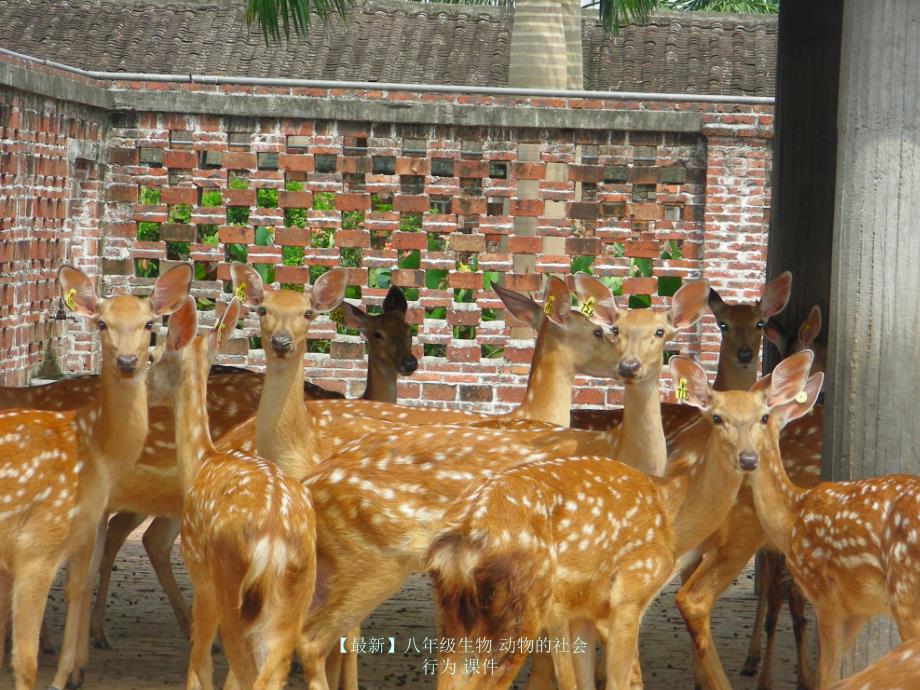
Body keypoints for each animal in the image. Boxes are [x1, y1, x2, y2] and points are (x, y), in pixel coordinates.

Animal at [0, 264, 190, 688]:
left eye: (149, 322)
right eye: (102, 323)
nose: (127, 361)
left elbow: (76, 587)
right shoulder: (37, 542)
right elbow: (25, 661)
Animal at [145, 296, 316, 688]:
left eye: (153, 355)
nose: (141, 388)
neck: (202, 460)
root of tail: (274, 539)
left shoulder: (198, 569)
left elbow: (199, 664)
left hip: (230, 582)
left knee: (245, 670)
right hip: (299, 591)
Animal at [424, 350, 820, 688]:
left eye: (763, 417)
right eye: (717, 417)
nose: (749, 459)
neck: (671, 512)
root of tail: (461, 539)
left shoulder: (583, 610)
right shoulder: (630, 590)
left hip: (453, 613)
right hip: (521, 604)